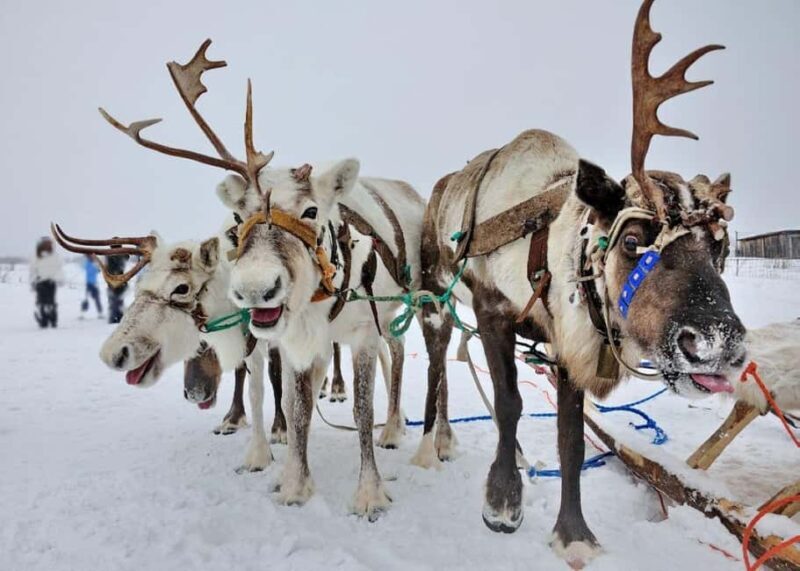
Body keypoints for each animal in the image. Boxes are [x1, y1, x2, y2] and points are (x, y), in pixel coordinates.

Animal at [414, 0, 745, 566]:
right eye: (632, 239)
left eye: (720, 247)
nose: (717, 343)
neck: (544, 247)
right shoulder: (492, 309)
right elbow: (509, 403)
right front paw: (502, 500)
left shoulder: (570, 344)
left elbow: (569, 436)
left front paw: (573, 532)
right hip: (436, 293)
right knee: (439, 358)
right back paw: (433, 442)